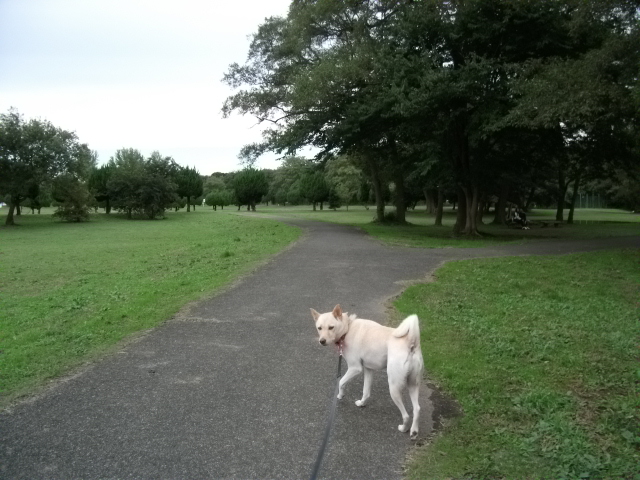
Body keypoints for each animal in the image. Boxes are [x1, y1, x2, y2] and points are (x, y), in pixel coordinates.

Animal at [310, 304, 424, 439]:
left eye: (331, 327)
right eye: (319, 328)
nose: (322, 341)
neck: (348, 329)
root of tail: (411, 342)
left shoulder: (355, 368)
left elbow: (341, 382)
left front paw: (340, 395)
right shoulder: (368, 370)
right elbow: (366, 391)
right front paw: (362, 403)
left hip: (394, 388)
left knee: (406, 415)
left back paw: (403, 428)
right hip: (413, 385)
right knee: (417, 409)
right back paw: (414, 431)